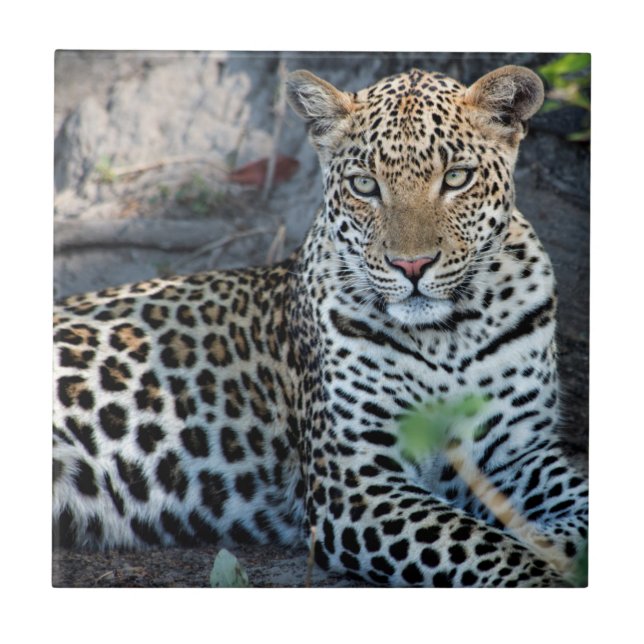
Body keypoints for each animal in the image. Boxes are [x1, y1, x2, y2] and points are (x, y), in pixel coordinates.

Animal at [53, 64, 588, 587]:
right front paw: (540, 569)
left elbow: (577, 507)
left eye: (456, 178)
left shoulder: (519, 450)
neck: (448, 335)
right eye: (365, 185)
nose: (411, 266)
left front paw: (555, 542)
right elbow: (481, 545)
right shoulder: (355, 481)